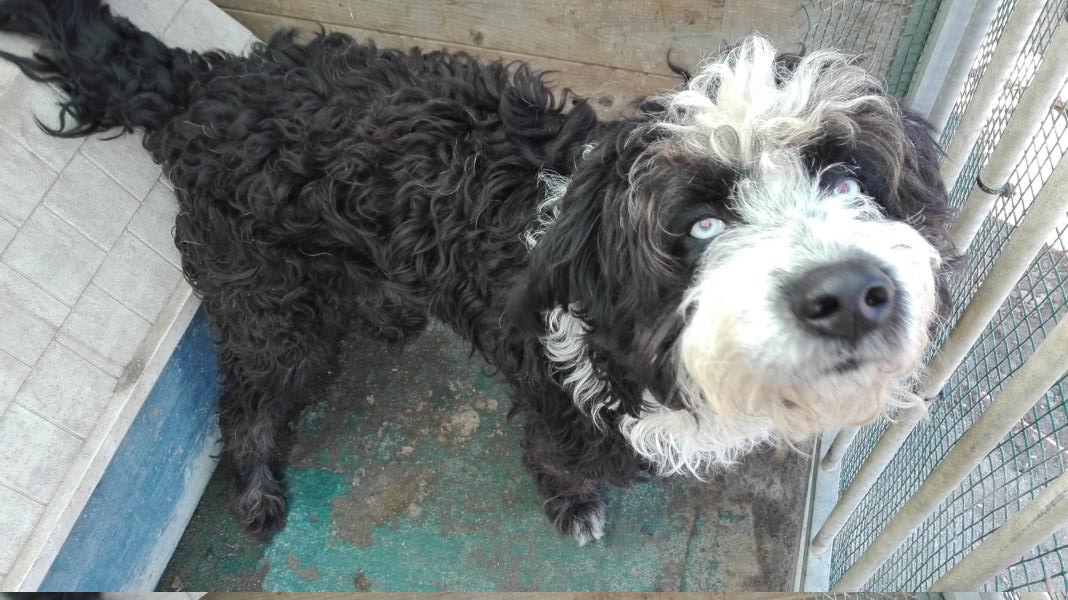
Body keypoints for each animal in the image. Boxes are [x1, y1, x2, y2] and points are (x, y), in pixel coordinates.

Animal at [0, 0, 955, 545]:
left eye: (851, 178)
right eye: (701, 223)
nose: (851, 296)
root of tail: (204, 82)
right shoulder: (556, 409)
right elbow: (558, 464)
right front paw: (574, 508)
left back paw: (386, 309)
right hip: (267, 304)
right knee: (243, 402)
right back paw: (258, 489)